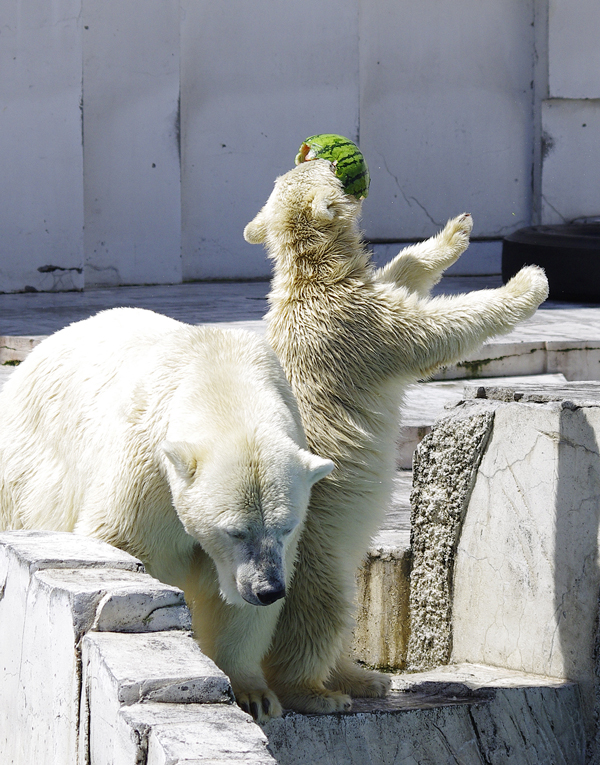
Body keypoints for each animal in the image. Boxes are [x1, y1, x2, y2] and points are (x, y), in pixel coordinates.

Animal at [0, 306, 332, 724]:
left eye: (285, 528)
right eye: (234, 531)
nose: (267, 589)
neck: (217, 369)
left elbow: (238, 609)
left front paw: (255, 695)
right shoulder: (148, 470)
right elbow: (129, 544)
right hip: (29, 466)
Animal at [244, 158, 548, 712]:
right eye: (322, 167)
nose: (318, 155)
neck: (310, 276)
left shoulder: (355, 303)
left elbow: (401, 276)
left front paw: (457, 231)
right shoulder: (359, 329)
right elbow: (435, 329)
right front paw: (527, 282)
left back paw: (363, 677)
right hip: (308, 556)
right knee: (319, 614)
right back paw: (318, 693)